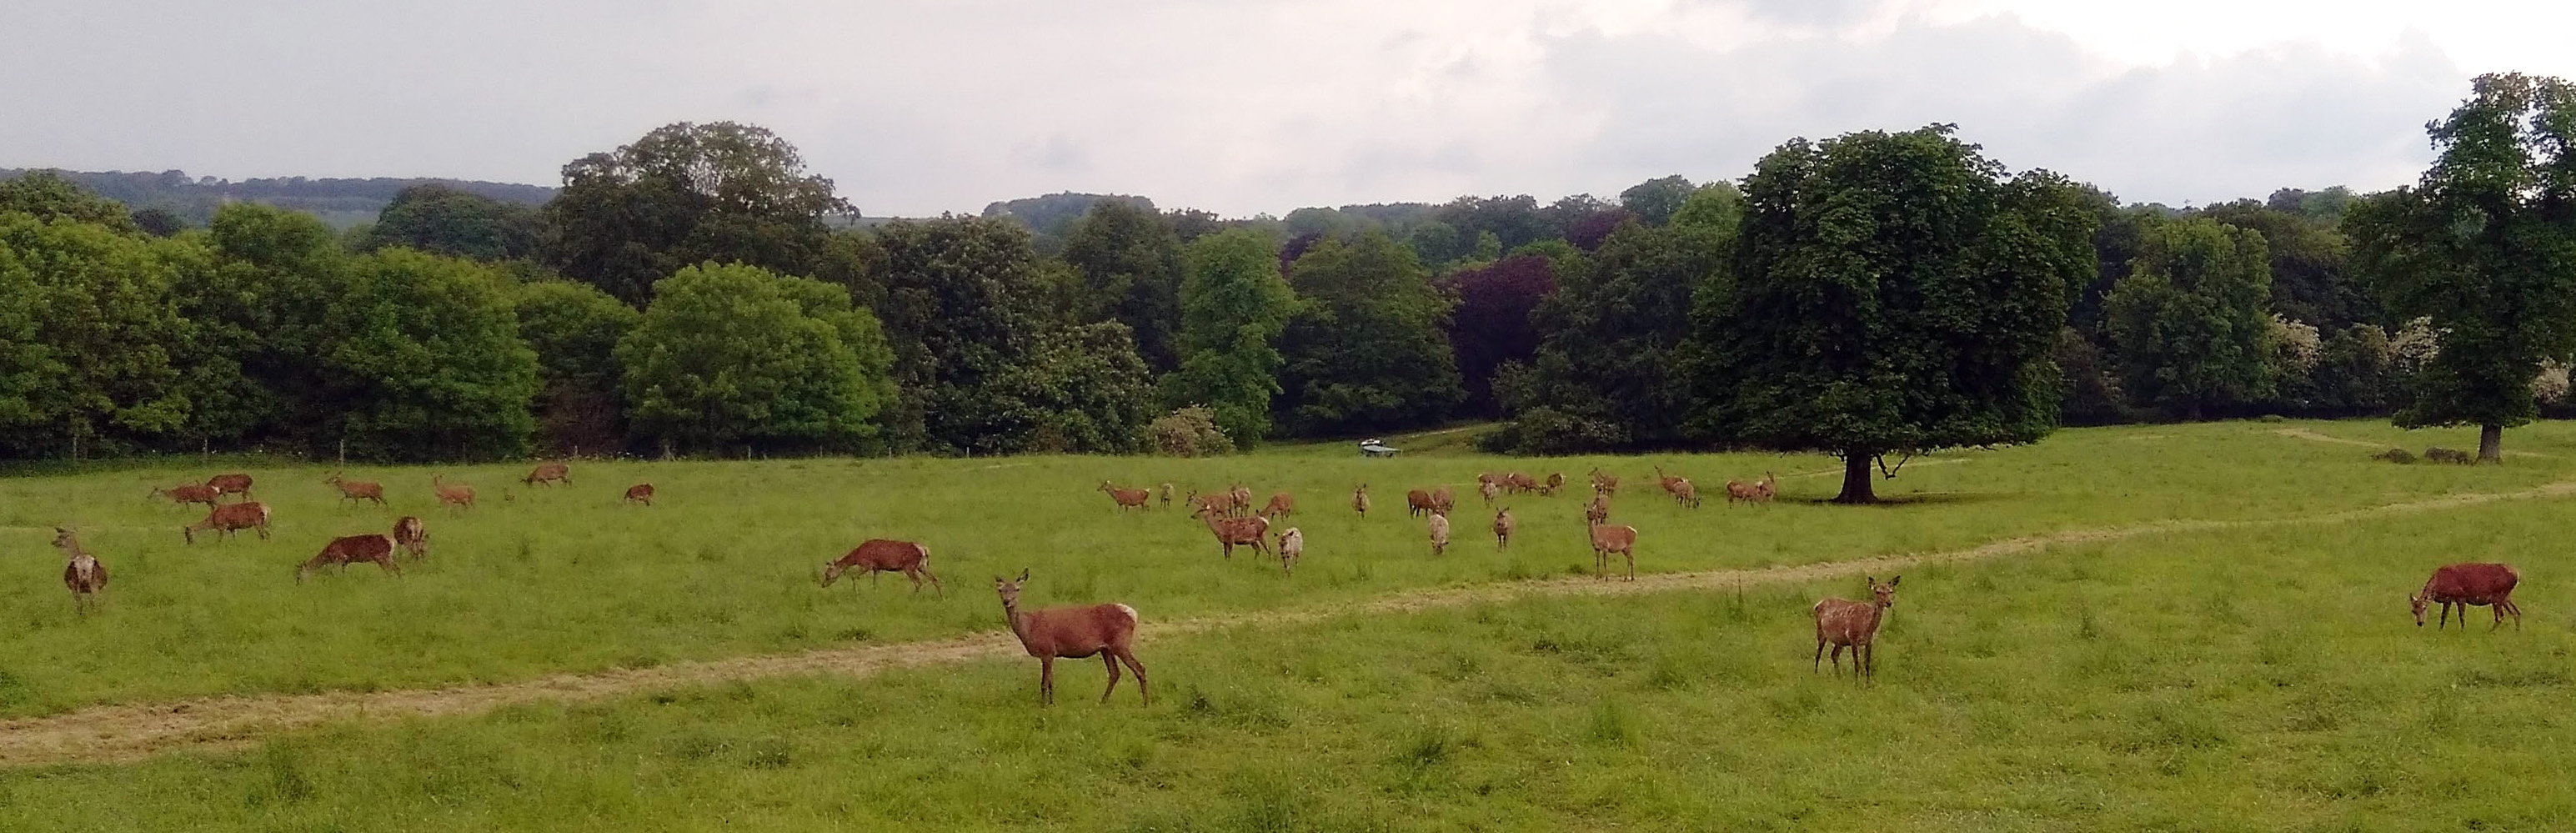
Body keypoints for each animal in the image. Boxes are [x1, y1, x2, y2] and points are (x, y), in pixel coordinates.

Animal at [818, 539, 943, 595]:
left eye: (827, 573)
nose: (823, 585)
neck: (857, 556)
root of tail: (924, 549)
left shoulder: (867, 564)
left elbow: (853, 576)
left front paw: (855, 592)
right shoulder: (876, 568)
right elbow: (875, 582)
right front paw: (874, 593)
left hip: (910, 566)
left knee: (919, 582)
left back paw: (912, 597)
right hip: (922, 566)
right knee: (934, 579)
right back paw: (942, 597)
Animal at [995, 569, 1146, 706]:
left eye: (1017, 589)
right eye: (1000, 590)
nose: (1006, 601)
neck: (1029, 627)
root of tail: (1133, 614)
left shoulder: (1048, 650)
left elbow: (1044, 683)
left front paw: (1043, 706)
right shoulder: (1051, 654)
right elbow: (1051, 682)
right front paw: (1052, 704)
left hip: (1121, 643)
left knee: (1139, 668)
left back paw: (1146, 703)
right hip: (1106, 648)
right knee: (1115, 672)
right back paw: (1102, 702)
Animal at [2412, 563, 2522, 631]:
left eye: (2424, 608)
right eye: (2413, 611)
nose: (2419, 623)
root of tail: (2517, 574)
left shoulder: (2461, 596)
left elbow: (2461, 616)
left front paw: (2462, 630)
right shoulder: (2448, 600)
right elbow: (2443, 616)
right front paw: (2440, 630)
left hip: (2498, 596)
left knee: (2500, 617)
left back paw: (2489, 632)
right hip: (2506, 597)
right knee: (2516, 612)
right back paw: (2517, 631)